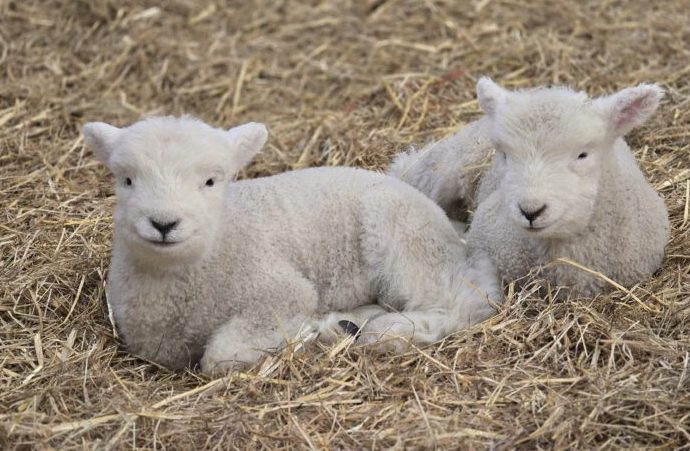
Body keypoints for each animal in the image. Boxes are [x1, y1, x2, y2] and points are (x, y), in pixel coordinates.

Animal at [84, 115, 501, 375]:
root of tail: (447, 223)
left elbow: (220, 357)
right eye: (126, 180)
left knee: (462, 303)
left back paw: (389, 331)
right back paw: (346, 326)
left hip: (403, 236)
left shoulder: (280, 292)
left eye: (211, 181)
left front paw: (303, 334)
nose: (163, 223)